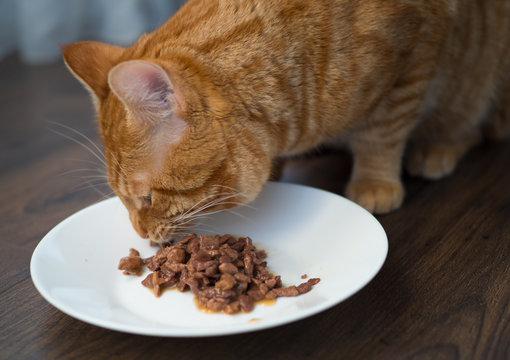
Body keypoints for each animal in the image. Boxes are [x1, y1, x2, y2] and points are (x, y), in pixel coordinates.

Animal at [62, 0, 510, 242]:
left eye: (147, 198)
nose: (139, 234)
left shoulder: (414, 57)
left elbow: (382, 134)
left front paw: (375, 181)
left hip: (477, 70)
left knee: (471, 122)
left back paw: (438, 147)